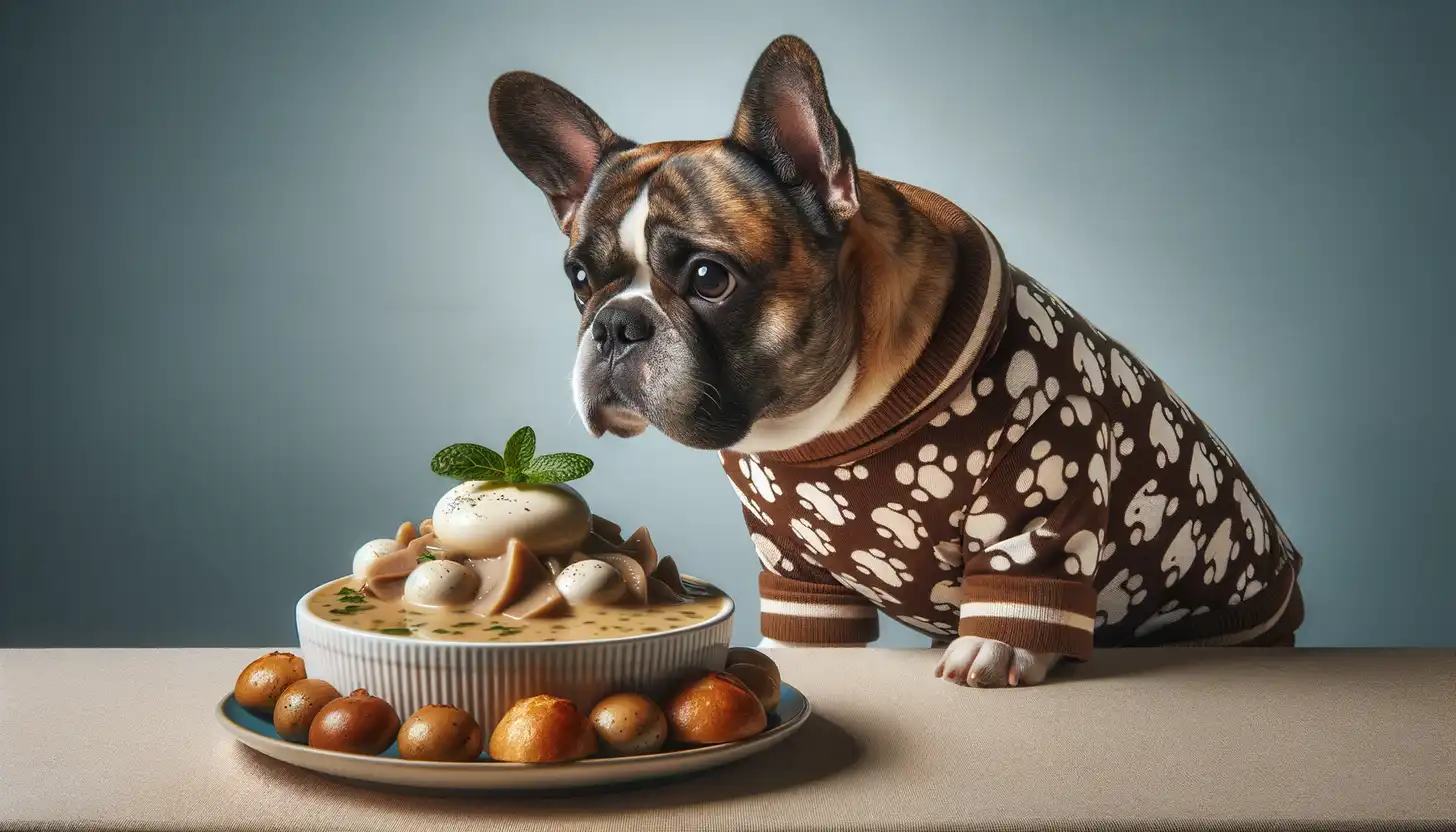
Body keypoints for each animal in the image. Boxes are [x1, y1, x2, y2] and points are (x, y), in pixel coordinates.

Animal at [489, 35, 1310, 687]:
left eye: (707, 277)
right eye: (579, 280)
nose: (616, 325)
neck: (821, 422)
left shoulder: (1050, 478)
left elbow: (1024, 571)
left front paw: (993, 650)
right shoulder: (790, 554)